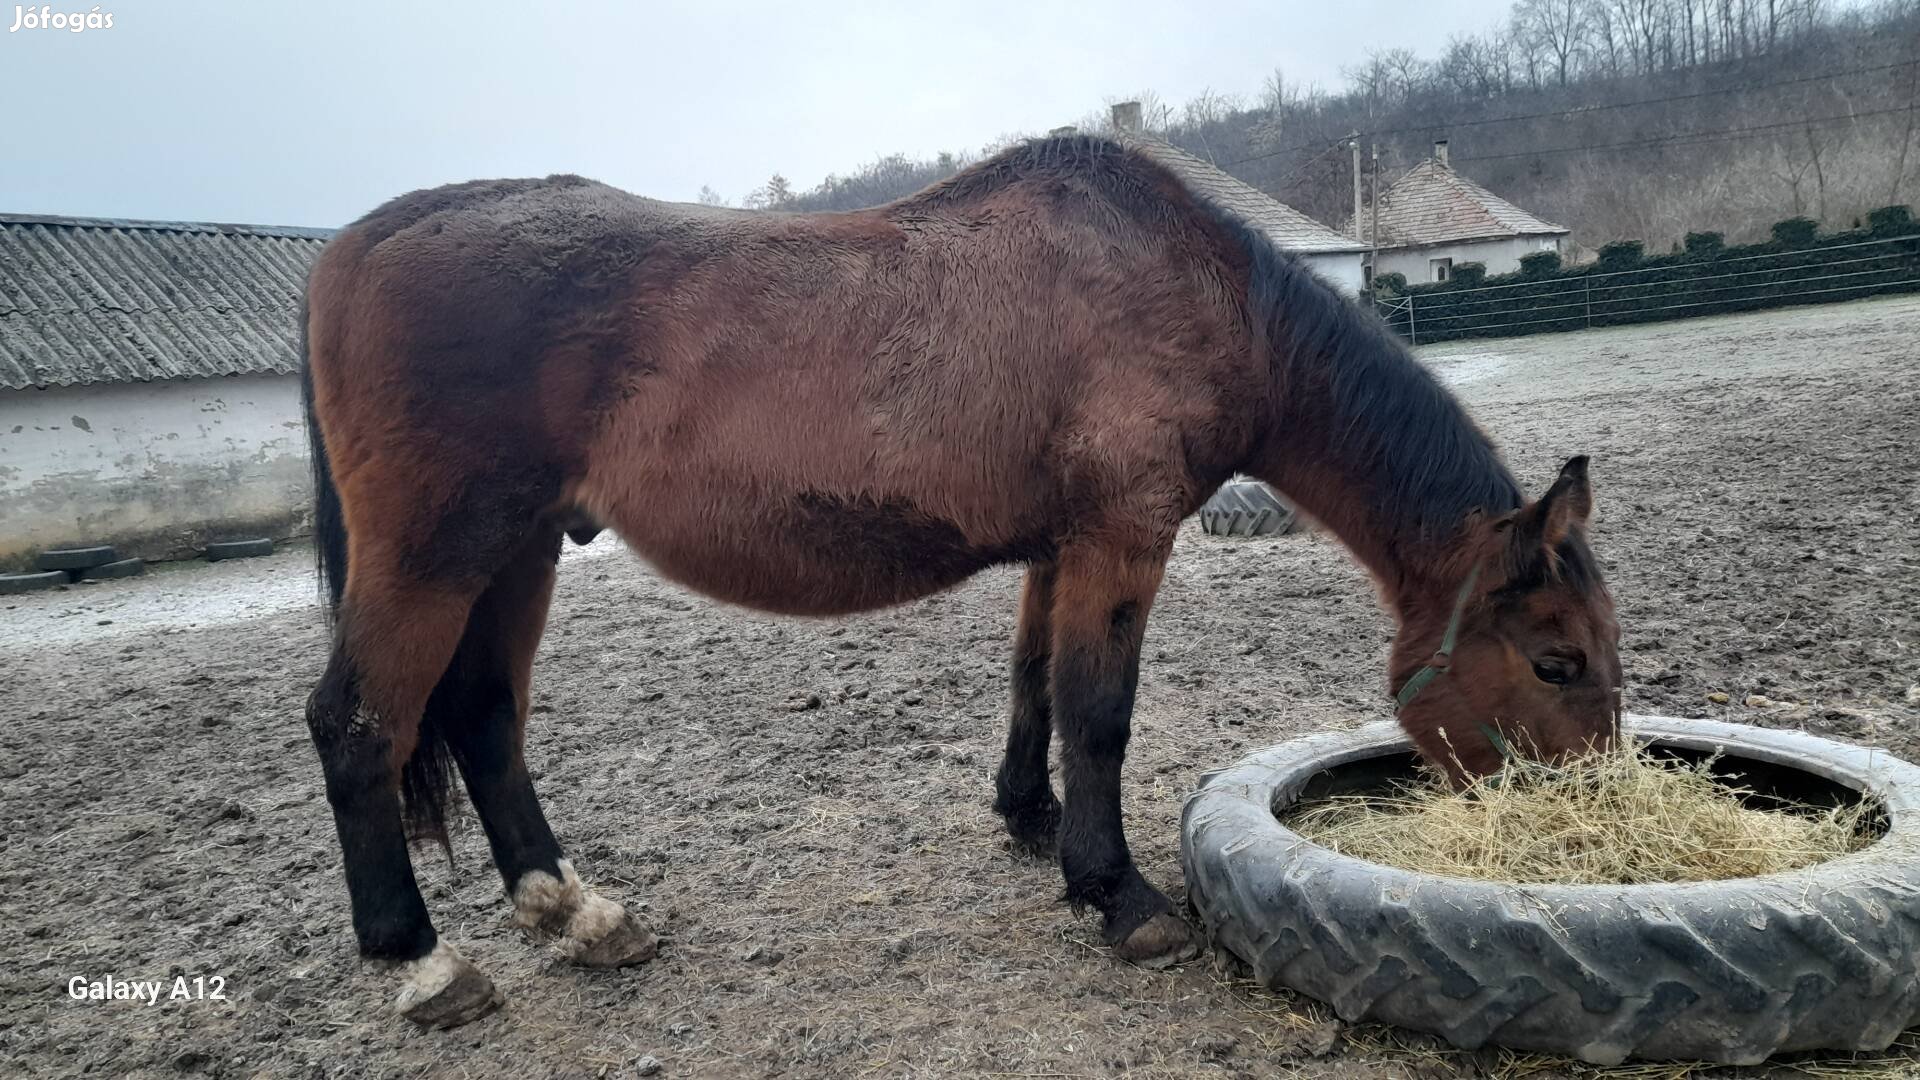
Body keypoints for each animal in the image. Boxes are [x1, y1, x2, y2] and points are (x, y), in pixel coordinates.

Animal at [299, 136, 1620, 1022]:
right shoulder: (1122, 541)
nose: (1590, 828)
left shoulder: (1058, 548)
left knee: (482, 719)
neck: (1185, 287)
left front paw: (1030, 820)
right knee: (357, 725)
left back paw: (577, 914)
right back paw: (424, 962)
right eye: (1556, 660)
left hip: (517, 551)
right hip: (436, 555)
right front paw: (1119, 896)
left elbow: (1035, 685)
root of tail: (358, 245)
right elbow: (1100, 714)